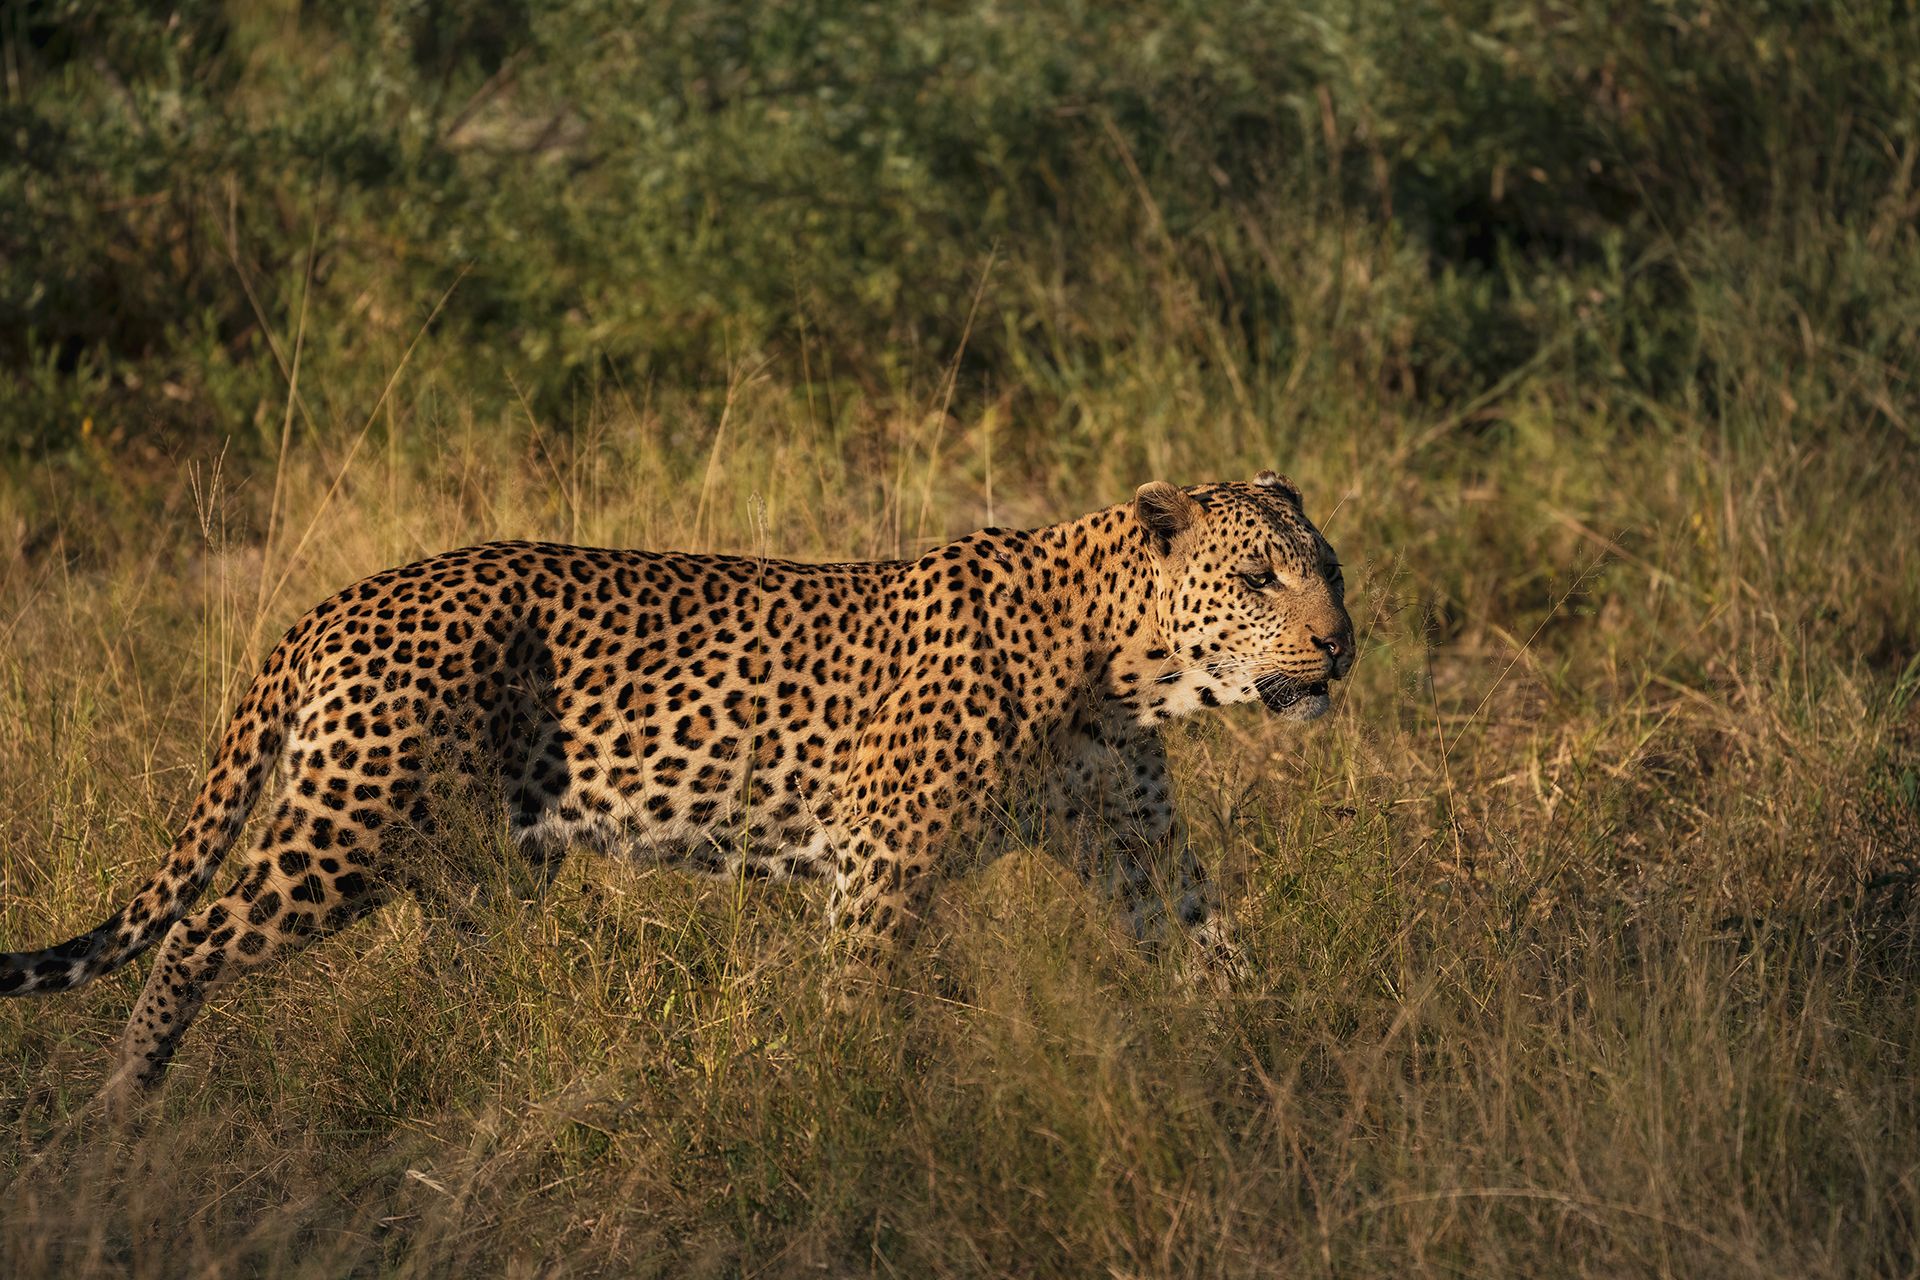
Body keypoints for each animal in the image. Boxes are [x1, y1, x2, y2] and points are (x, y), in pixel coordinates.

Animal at [0, 470, 1353, 1100]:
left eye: (1329, 568)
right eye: (1261, 578)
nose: (1343, 643)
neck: (1127, 670)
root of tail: (339, 602)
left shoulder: (1138, 847)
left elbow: (1214, 946)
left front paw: (1283, 1062)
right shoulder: (884, 859)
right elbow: (861, 994)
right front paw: (853, 1113)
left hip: (484, 870)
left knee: (441, 974)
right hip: (346, 824)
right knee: (196, 935)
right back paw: (124, 1103)